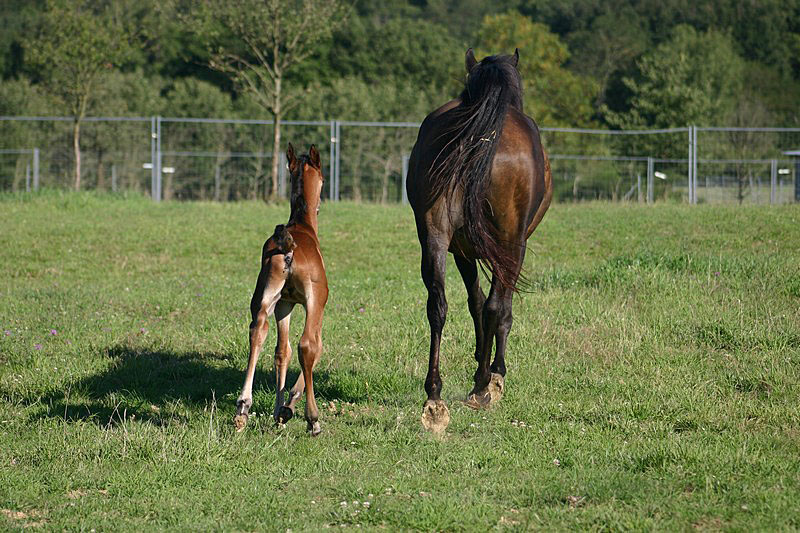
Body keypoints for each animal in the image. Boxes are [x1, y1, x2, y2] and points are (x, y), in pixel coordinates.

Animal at [234, 143, 328, 434]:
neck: (303, 226)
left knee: (257, 332)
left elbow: (281, 352)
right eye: (324, 179)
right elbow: (315, 347)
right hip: (316, 299)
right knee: (308, 344)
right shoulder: (314, 304)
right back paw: (313, 418)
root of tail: (287, 247)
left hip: (263, 300)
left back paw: (243, 407)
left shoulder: (284, 306)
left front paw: (279, 411)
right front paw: (289, 405)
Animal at [406, 48, 552, 432]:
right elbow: (498, 308)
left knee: (438, 305)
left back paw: (435, 396)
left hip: (435, 236)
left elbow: (472, 302)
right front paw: (494, 373)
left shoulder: (461, 250)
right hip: (511, 242)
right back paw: (485, 384)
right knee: (496, 306)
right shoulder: (509, 248)